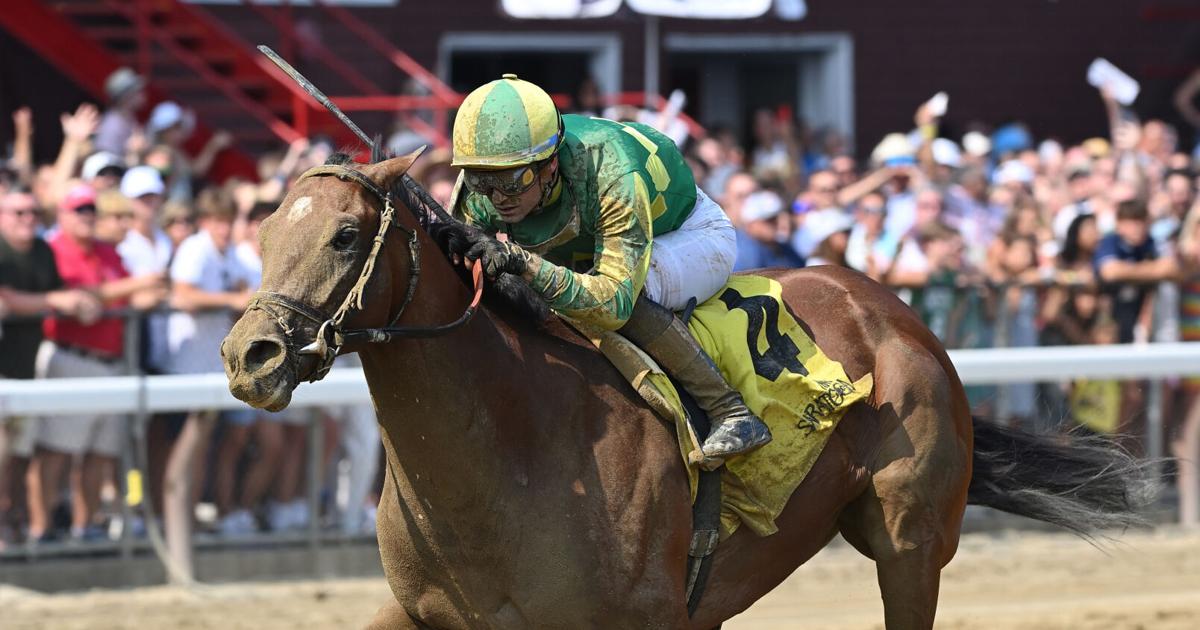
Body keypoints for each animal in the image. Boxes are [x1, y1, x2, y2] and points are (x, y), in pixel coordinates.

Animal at [221, 150, 1147, 629]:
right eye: (261, 233)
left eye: (345, 236)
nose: (248, 355)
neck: (509, 453)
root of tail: (894, 311)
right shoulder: (422, 613)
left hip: (911, 543)